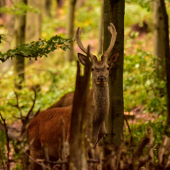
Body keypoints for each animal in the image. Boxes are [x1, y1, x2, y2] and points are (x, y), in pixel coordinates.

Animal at [26, 22, 119, 170]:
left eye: (108, 67)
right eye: (92, 68)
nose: (101, 78)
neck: (94, 123)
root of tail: (28, 126)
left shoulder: (94, 144)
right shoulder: (68, 144)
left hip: (50, 155)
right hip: (35, 148)